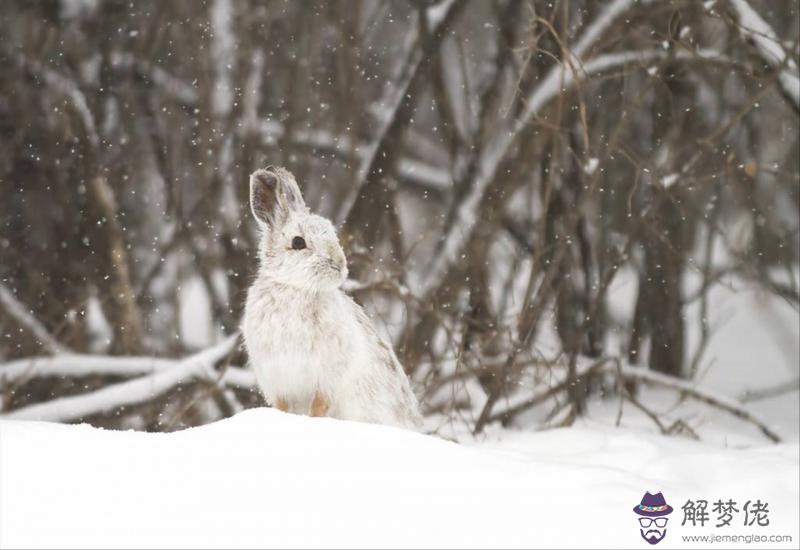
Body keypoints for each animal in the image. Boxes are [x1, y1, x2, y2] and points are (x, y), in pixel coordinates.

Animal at [241, 167, 422, 432]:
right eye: (298, 242)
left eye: (333, 235)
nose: (340, 264)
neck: (296, 288)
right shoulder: (278, 379)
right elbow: (283, 407)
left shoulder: (326, 379)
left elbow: (319, 406)